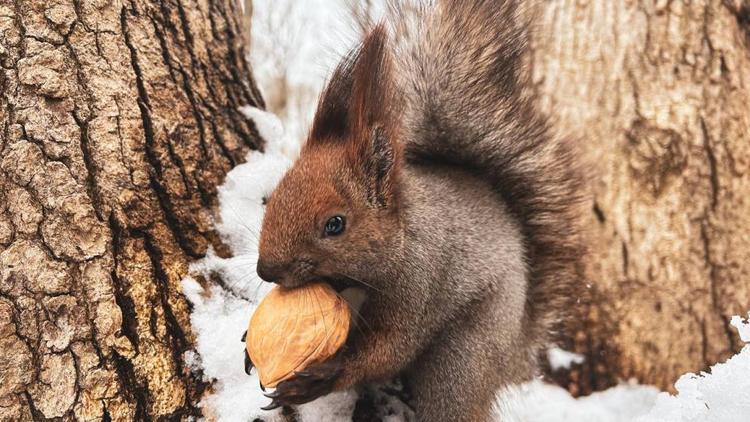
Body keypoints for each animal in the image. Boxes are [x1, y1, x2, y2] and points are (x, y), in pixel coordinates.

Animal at [248, 1, 588, 420]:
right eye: (274, 196)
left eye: (335, 224)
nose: (266, 270)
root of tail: (516, 352)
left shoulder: (418, 286)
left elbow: (388, 349)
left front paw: (318, 379)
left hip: (463, 358)